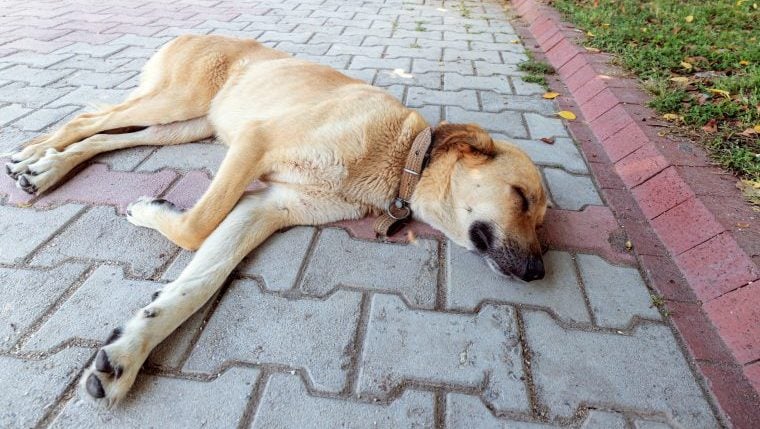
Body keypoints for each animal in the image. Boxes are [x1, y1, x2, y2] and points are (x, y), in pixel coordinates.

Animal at [1, 34, 548, 404]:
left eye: (543, 220)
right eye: (521, 197)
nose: (539, 273)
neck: (400, 156)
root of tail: (193, 32)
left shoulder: (265, 208)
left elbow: (198, 282)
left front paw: (129, 351)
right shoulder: (255, 141)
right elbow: (195, 226)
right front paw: (152, 211)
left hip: (184, 126)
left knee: (102, 137)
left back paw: (46, 169)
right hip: (177, 104)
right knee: (88, 119)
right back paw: (34, 153)